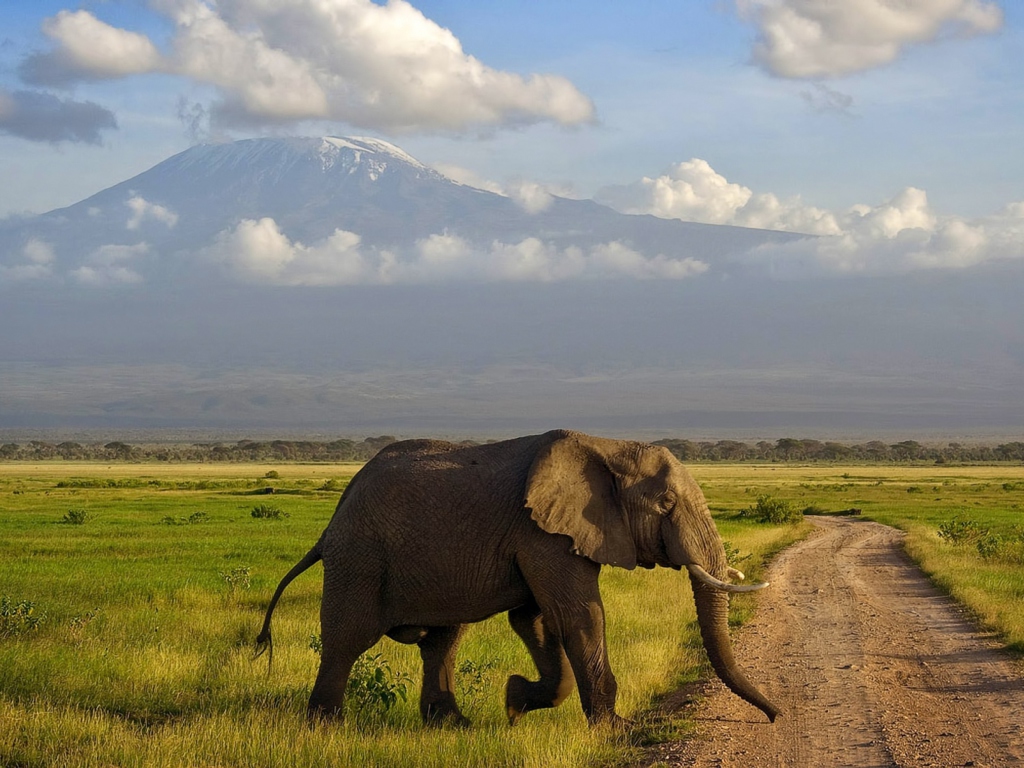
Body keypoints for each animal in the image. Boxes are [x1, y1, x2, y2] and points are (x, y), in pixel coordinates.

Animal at [253, 434, 774, 729]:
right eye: (665, 503)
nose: (774, 716)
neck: (609, 448)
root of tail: (332, 520)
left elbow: (535, 621)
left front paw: (513, 703)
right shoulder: (542, 532)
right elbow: (577, 617)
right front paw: (618, 731)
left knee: (443, 640)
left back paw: (453, 726)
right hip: (359, 559)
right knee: (347, 639)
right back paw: (325, 728)